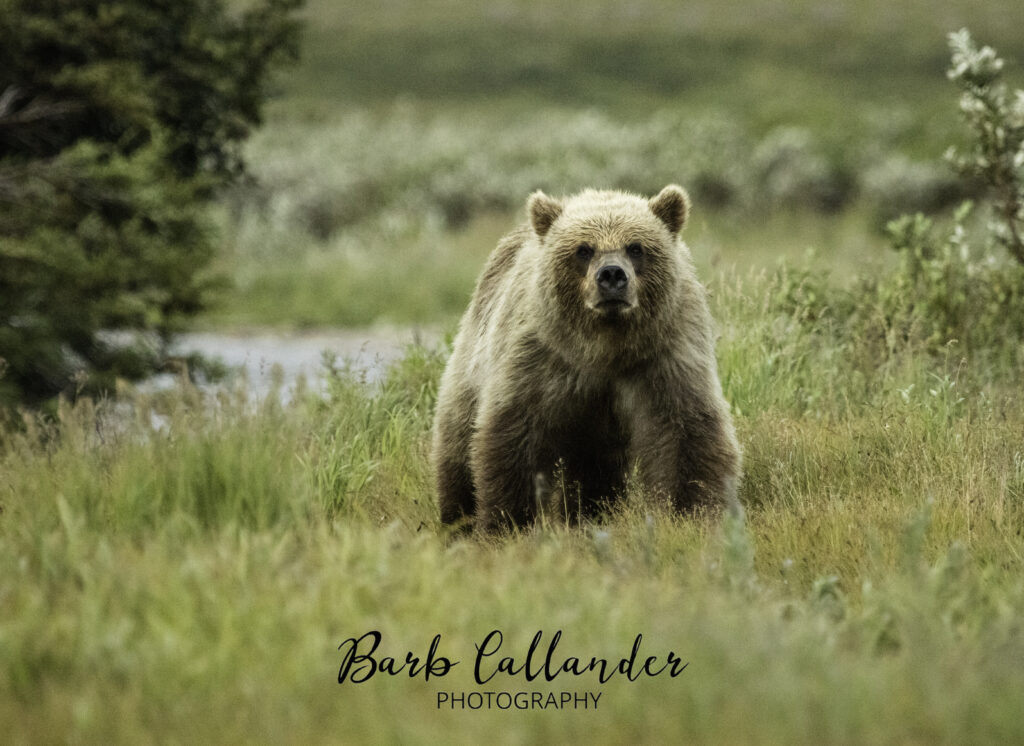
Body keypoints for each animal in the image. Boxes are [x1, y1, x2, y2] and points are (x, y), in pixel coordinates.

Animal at [432, 185, 741, 533]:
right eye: (584, 249)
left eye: (635, 247)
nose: (612, 275)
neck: (603, 347)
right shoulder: (536, 358)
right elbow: (515, 435)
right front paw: (508, 523)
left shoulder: (666, 354)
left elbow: (685, 431)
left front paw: (691, 514)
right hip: (472, 357)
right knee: (457, 440)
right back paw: (457, 518)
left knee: (595, 471)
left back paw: (589, 514)